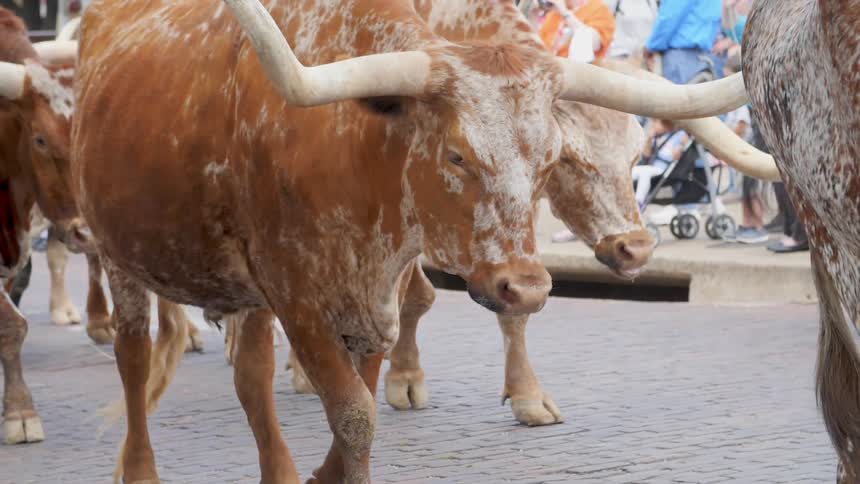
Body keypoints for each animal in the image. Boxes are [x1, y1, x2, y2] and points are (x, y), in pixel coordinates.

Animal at [74, 0, 762, 481]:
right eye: (456, 155)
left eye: (548, 161)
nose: (636, 249)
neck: (351, 141)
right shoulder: (300, 297)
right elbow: (355, 411)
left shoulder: (382, 285)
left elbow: (368, 389)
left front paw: (522, 394)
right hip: (120, 252)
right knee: (137, 361)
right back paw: (139, 466)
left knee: (250, 375)